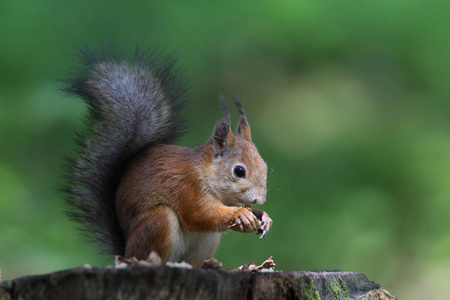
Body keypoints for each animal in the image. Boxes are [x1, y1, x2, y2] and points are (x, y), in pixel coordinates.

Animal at [62, 49, 270, 268]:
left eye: (265, 166)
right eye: (239, 171)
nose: (260, 200)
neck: (207, 173)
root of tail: (126, 253)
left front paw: (262, 217)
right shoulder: (187, 187)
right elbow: (199, 215)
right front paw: (240, 214)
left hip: (207, 240)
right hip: (158, 222)